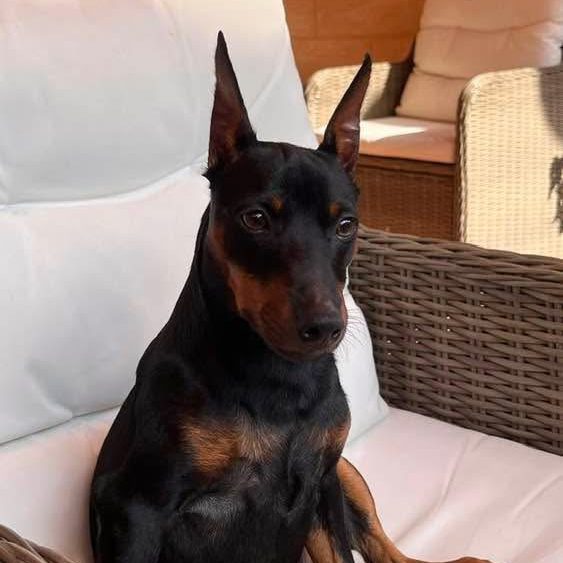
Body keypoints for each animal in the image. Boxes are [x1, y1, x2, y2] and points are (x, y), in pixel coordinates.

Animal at [90, 32, 491, 563]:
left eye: (346, 225)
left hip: (347, 473)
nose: (324, 328)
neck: (279, 378)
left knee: (385, 547)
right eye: (256, 218)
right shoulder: (138, 509)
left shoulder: (321, 483)